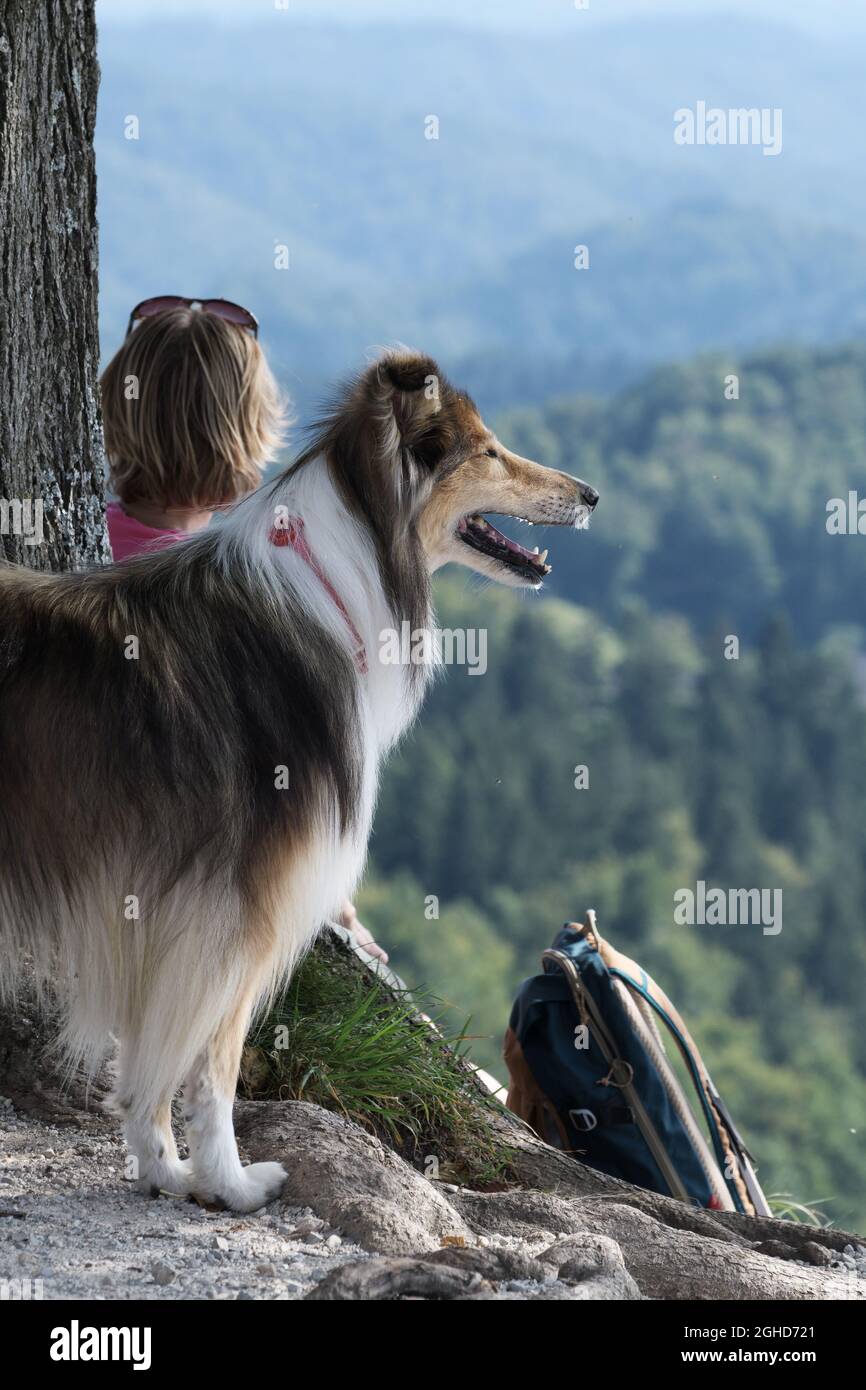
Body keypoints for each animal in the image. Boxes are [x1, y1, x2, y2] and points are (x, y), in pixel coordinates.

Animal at [0, 347, 594, 1206]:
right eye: (487, 450)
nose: (591, 495)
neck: (340, 577)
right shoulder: (237, 909)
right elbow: (213, 1063)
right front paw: (231, 1183)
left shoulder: (163, 911)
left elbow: (152, 1060)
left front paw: (163, 1168)